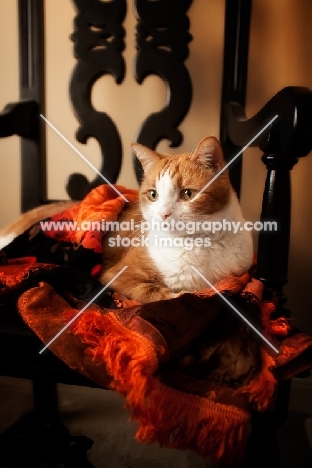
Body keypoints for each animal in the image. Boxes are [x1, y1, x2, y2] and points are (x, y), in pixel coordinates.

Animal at [0, 135, 254, 304]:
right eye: (153, 194)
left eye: (187, 194)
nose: (163, 214)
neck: (201, 244)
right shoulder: (116, 276)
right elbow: (155, 293)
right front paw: (178, 293)